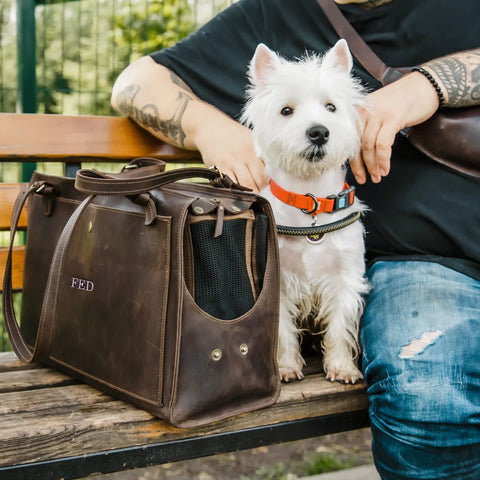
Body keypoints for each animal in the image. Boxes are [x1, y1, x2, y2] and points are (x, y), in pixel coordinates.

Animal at [242, 40, 370, 386]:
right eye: (286, 110)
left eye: (331, 107)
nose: (318, 132)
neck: (309, 201)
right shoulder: (279, 280)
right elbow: (283, 330)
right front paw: (286, 367)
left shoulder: (344, 277)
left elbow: (339, 326)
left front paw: (342, 367)